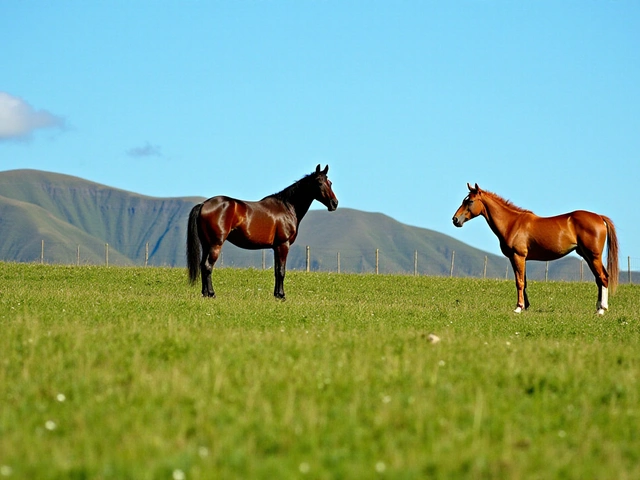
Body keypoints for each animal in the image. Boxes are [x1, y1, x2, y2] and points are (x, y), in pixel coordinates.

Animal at [186, 167, 340, 298]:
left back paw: (205, 293)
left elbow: (277, 271)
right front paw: (282, 295)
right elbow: (281, 271)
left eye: (330, 182)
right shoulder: (283, 245)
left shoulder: (276, 247)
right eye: (319, 183)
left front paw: (277, 295)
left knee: (203, 266)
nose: (334, 203)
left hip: (206, 244)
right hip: (215, 244)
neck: (287, 207)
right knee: (208, 266)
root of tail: (204, 204)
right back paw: (211, 294)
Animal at [452, 184, 616, 316]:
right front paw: (525, 306)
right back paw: (598, 307)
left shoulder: (518, 256)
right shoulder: (516, 258)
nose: (455, 220)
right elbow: (523, 281)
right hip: (587, 256)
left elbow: (519, 282)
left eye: (470, 201)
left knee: (603, 278)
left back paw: (602, 310)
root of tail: (599, 217)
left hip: (593, 256)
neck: (512, 223)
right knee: (599, 279)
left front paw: (518, 307)